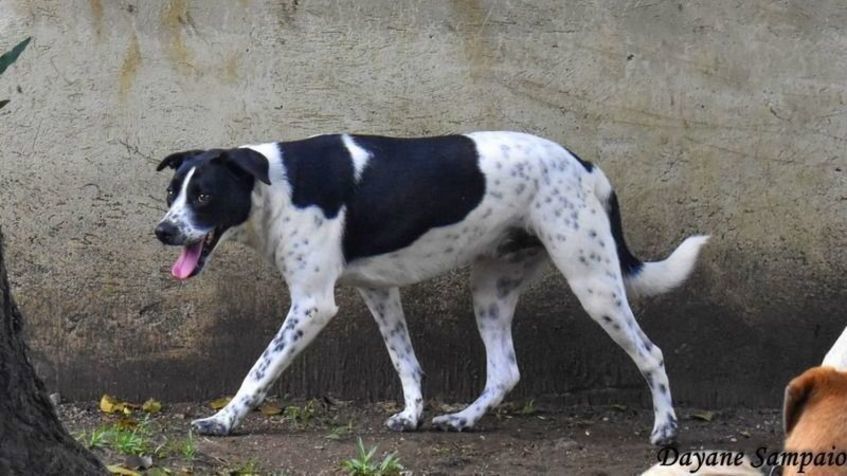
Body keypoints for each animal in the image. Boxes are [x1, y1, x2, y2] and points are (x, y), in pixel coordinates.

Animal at [154, 131, 708, 446]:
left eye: (203, 196)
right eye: (171, 192)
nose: (162, 231)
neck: (275, 185)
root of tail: (585, 166)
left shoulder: (311, 305)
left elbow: (258, 370)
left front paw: (222, 421)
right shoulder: (377, 290)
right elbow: (406, 360)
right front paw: (413, 415)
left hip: (592, 280)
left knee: (651, 353)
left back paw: (665, 429)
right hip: (491, 289)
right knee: (504, 371)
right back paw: (462, 420)